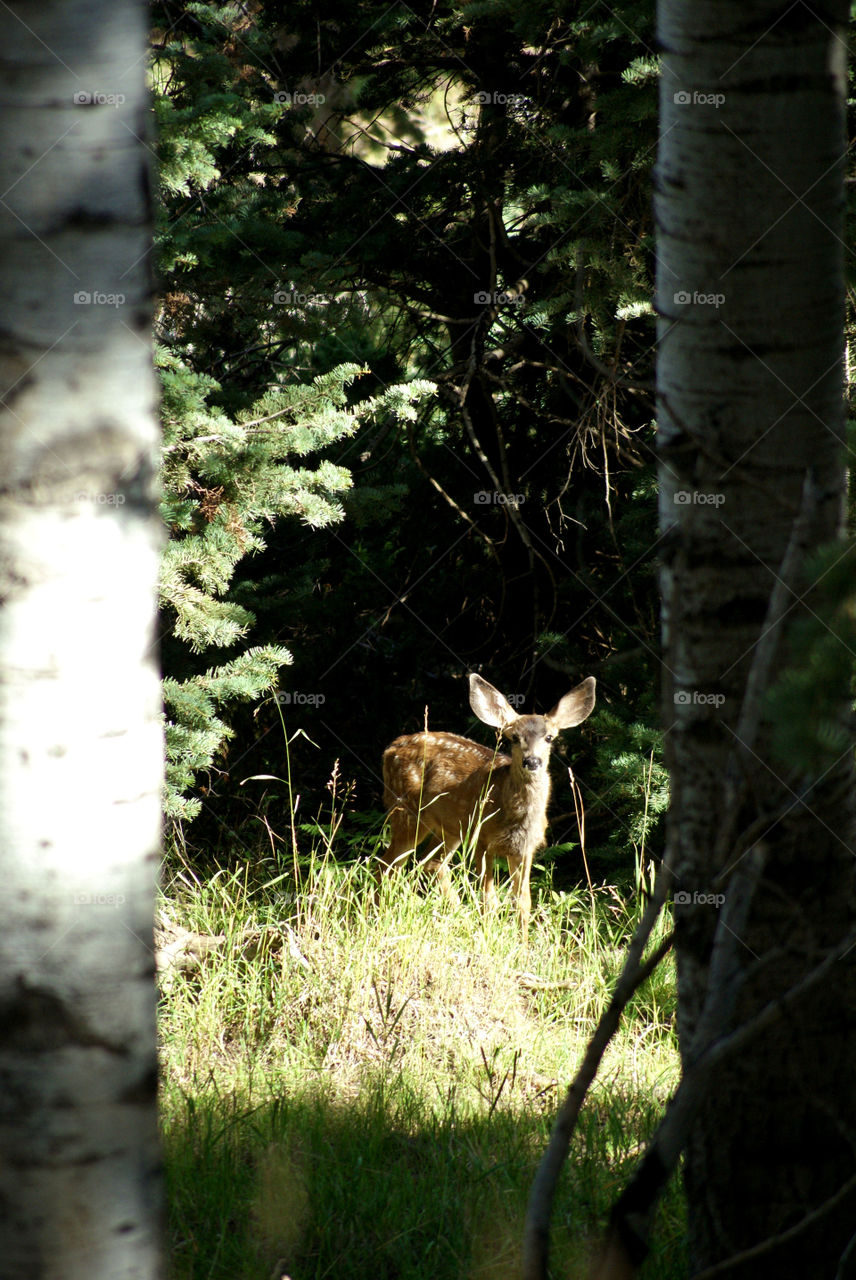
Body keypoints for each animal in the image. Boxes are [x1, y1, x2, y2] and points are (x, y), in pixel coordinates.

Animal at [376, 675, 598, 936]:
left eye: (549, 737)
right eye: (514, 738)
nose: (532, 761)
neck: (514, 815)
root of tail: (390, 749)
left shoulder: (525, 848)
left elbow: (523, 902)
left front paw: (522, 942)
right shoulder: (482, 838)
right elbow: (489, 899)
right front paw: (488, 933)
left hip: (450, 829)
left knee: (431, 863)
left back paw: (457, 917)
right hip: (407, 811)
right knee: (386, 864)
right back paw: (378, 917)